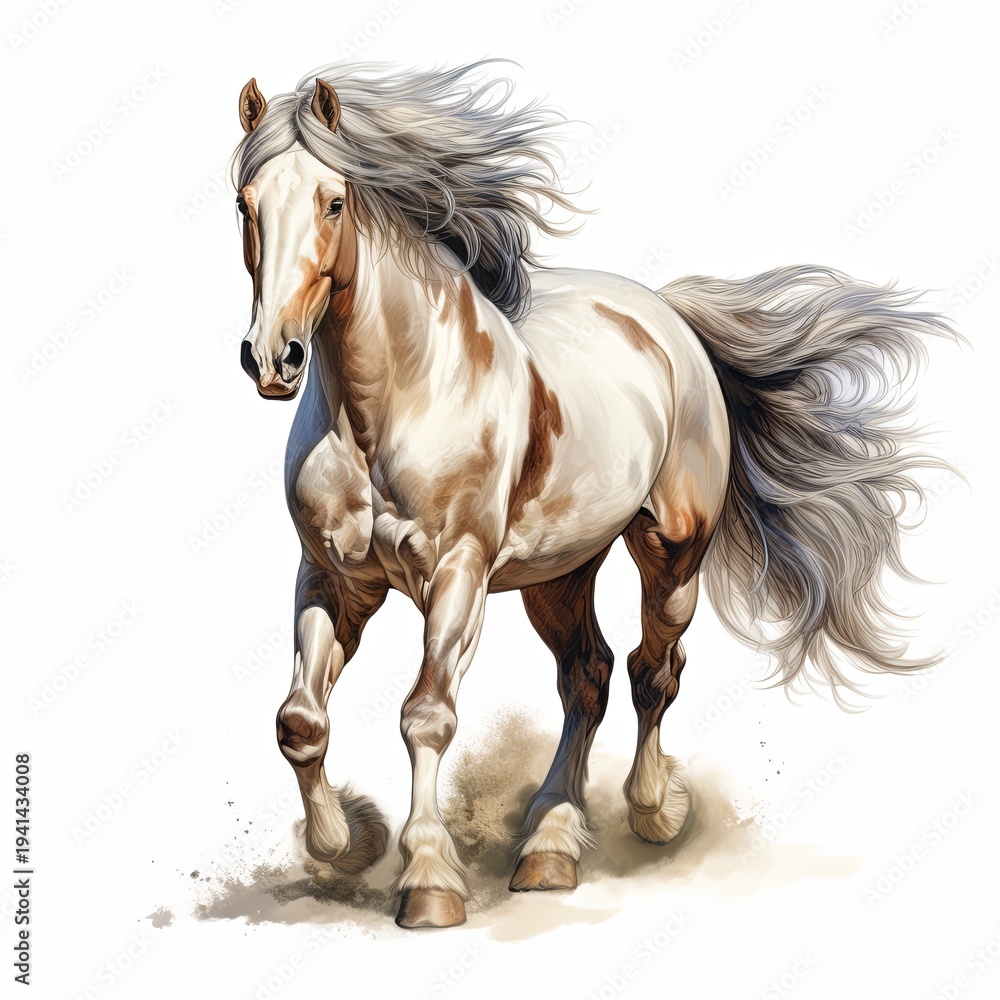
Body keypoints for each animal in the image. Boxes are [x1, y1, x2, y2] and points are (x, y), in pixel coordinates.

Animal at [229, 62, 955, 928]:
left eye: (334, 201)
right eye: (244, 203)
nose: (273, 358)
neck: (391, 406)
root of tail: (669, 319)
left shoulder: (457, 574)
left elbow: (427, 716)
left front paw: (430, 882)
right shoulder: (333, 578)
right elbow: (299, 721)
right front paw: (349, 841)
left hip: (670, 555)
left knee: (651, 670)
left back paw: (649, 811)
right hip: (558, 574)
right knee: (589, 676)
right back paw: (548, 847)